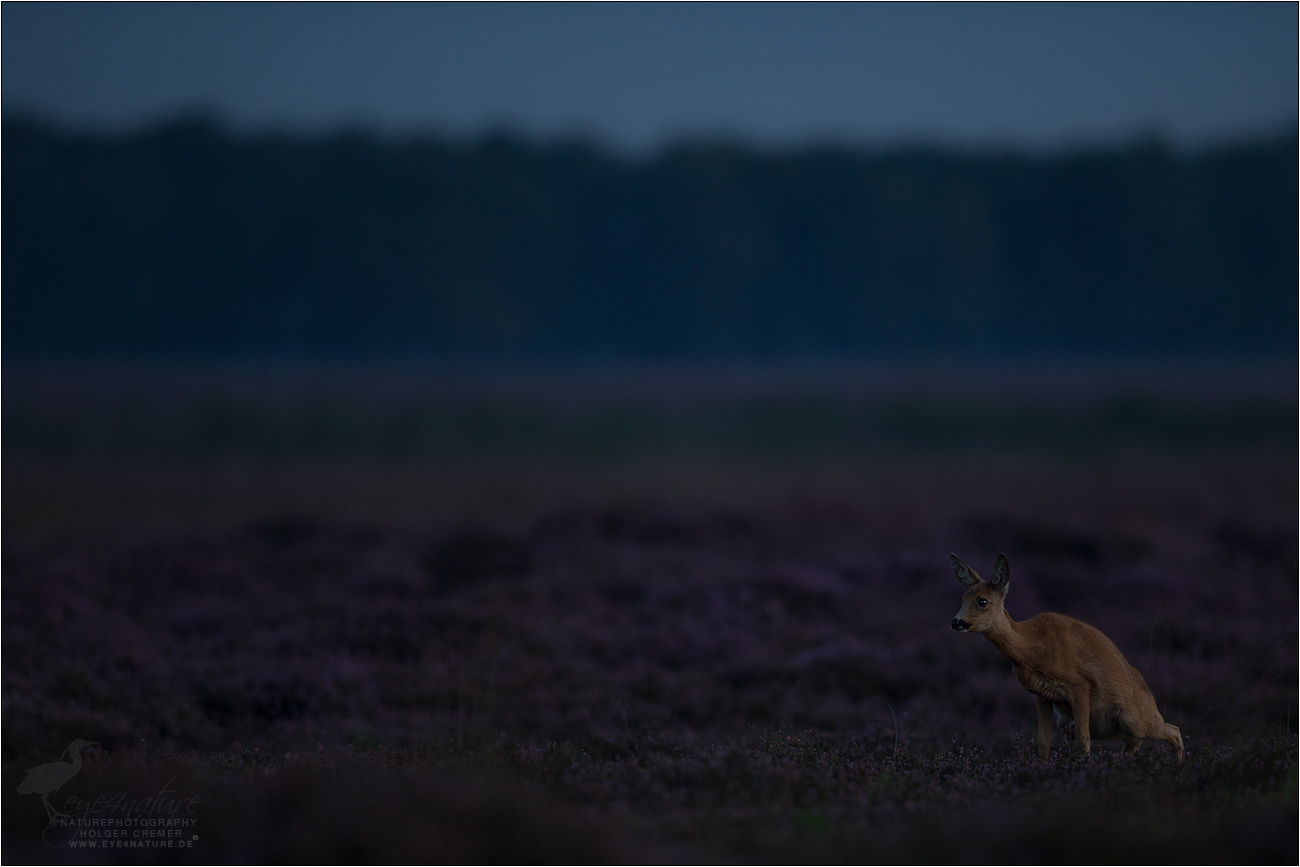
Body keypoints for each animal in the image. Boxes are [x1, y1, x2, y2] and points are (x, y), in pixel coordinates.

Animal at [951, 553, 1185, 764]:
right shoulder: (1043, 695)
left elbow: (1083, 742)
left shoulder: (1079, 685)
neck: (1032, 649)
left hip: (1132, 719)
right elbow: (1043, 743)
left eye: (982, 601)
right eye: (961, 599)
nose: (956, 622)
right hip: (1074, 722)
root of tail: (1150, 699)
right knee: (1134, 742)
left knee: (1172, 730)